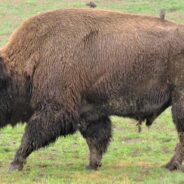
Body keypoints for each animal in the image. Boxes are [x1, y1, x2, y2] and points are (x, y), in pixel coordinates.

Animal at [0, 8, 184, 172]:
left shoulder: (56, 110)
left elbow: (31, 135)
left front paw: (14, 164)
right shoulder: (90, 112)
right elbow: (96, 139)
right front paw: (92, 165)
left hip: (178, 103)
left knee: (181, 136)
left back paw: (170, 166)